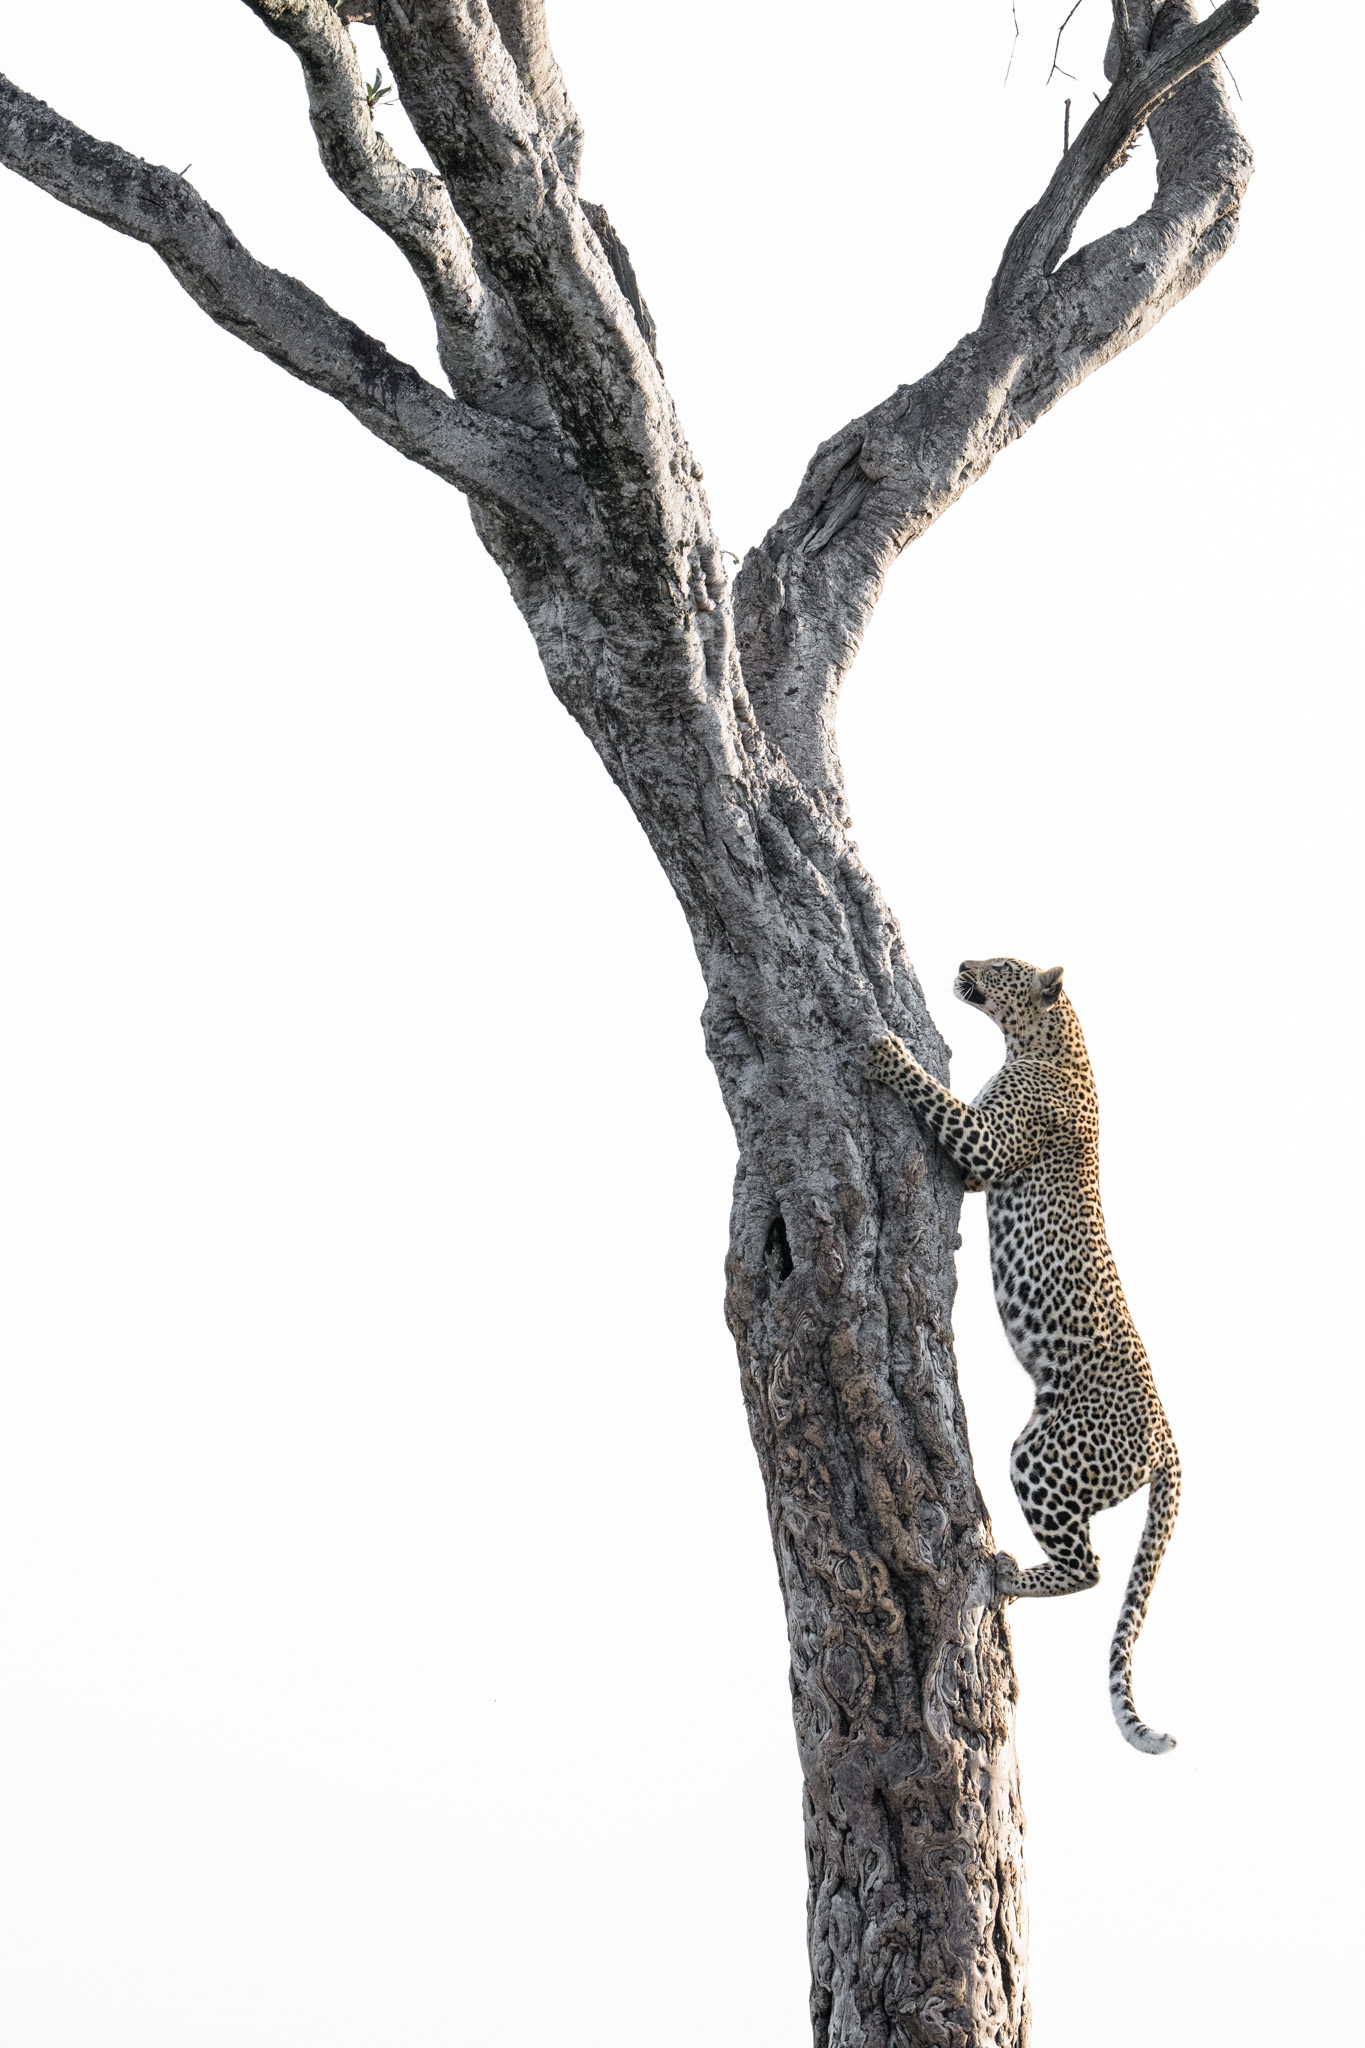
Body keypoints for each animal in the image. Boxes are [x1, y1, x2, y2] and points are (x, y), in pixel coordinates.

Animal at [865, 958, 1180, 1756]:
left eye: (1003, 968)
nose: (962, 965)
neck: (1045, 1042)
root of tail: (1168, 1441)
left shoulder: (983, 1145)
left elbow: (933, 1094)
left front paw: (884, 1049)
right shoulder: (979, 1162)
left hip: (1047, 1456)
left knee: (1091, 1567)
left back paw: (1006, 1576)